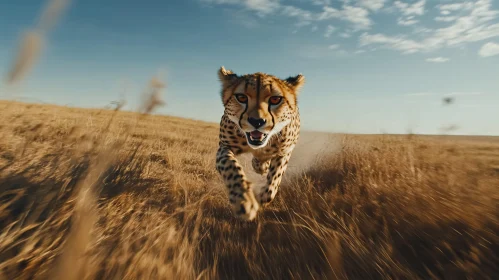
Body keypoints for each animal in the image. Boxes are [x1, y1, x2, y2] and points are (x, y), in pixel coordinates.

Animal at [216, 66, 304, 221]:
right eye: (241, 97)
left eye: (275, 99)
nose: (257, 121)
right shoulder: (225, 146)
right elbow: (231, 167)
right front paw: (244, 201)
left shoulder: (285, 151)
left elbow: (275, 179)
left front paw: (261, 197)